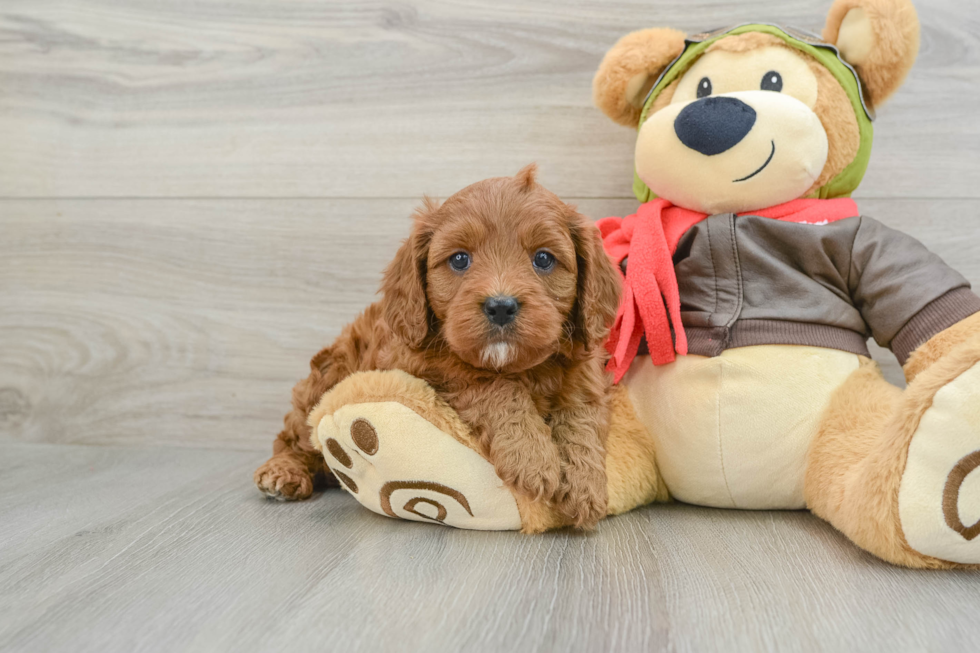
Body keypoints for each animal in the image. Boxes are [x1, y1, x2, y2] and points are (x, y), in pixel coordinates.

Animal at [253, 166, 620, 528]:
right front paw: (531, 457)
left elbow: (581, 418)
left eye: (543, 258)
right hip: (326, 379)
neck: (520, 367)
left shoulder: (586, 375)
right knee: (292, 436)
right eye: (459, 260)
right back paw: (282, 472)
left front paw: (585, 485)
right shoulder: (427, 366)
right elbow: (496, 387)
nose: (501, 306)